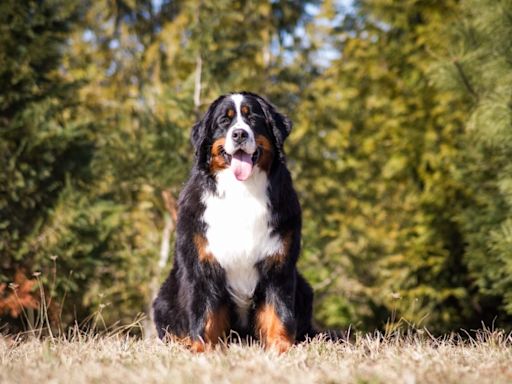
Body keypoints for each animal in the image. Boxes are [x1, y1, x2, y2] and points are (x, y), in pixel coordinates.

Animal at [152, 91, 316, 352]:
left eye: (253, 118)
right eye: (224, 121)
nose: (239, 134)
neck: (242, 191)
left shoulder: (278, 265)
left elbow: (278, 312)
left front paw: (281, 349)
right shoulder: (202, 265)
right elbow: (205, 315)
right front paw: (202, 350)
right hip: (165, 296)